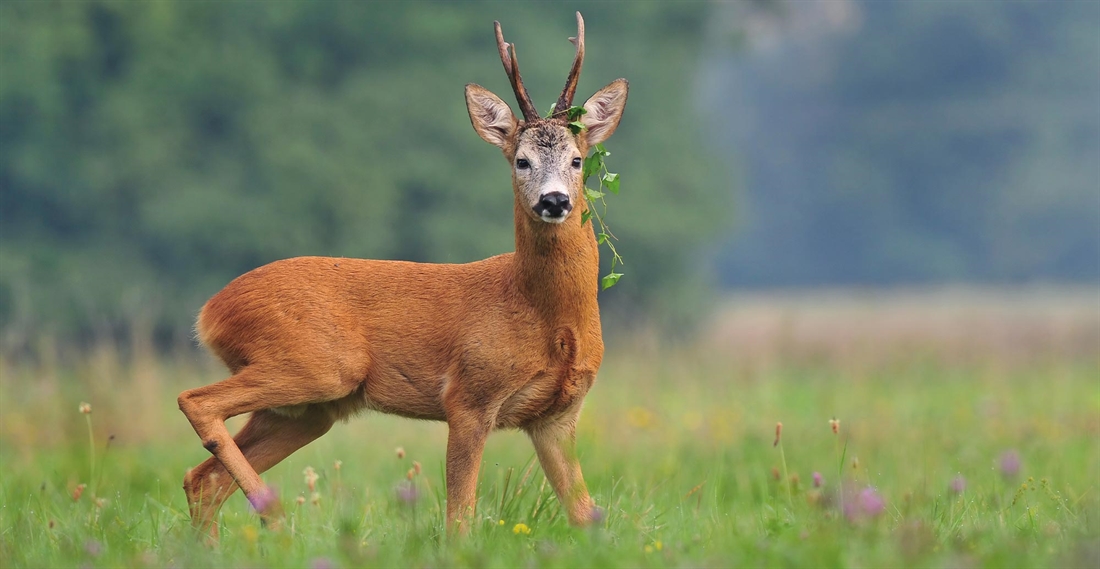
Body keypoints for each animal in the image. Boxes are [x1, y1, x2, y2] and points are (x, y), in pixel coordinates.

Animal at [179, 12, 629, 537]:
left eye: (577, 160)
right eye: (522, 160)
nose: (554, 200)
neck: (546, 316)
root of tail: (210, 312)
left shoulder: (557, 416)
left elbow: (585, 515)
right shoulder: (468, 396)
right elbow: (459, 516)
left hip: (307, 408)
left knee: (202, 478)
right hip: (317, 364)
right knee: (196, 403)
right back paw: (275, 513)